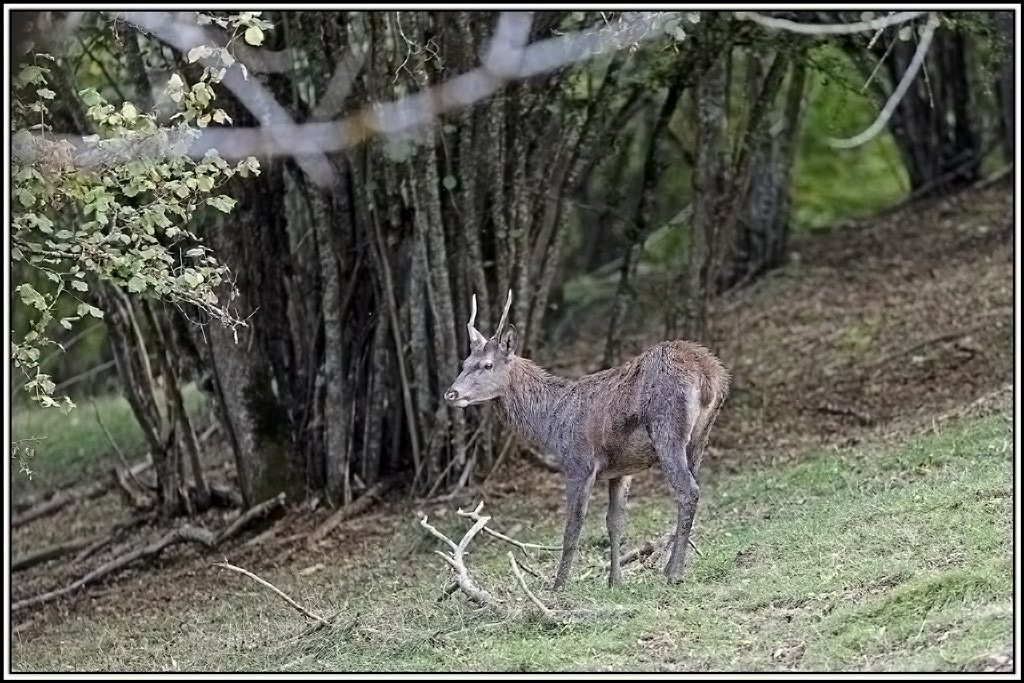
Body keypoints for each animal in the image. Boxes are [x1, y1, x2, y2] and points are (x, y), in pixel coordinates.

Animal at [444, 290, 730, 590]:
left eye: (487, 365)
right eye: (464, 363)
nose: (450, 394)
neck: (551, 424)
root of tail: (709, 375)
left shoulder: (578, 463)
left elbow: (573, 527)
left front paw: (558, 585)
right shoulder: (621, 470)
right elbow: (614, 521)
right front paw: (615, 580)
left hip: (668, 429)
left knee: (688, 490)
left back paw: (673, 572)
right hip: (700, 436)